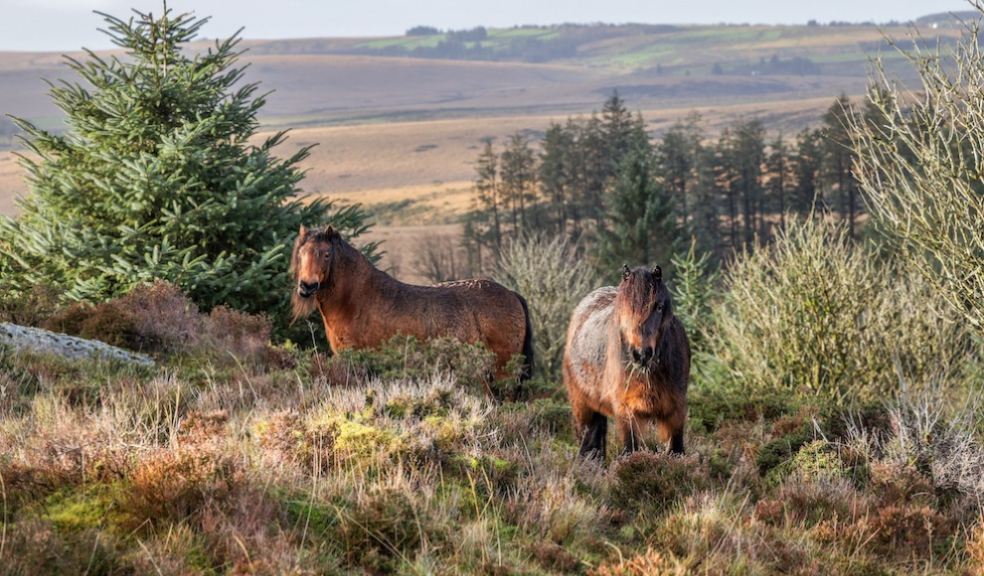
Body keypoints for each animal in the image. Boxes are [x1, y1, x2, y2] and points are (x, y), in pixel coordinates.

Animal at [290, 226, 536, 382]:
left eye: (326, 254)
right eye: (301, 254)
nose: (307, 286)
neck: (356, 300)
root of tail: (512, 294)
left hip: (503, 371)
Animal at [560, 264, 692, 460]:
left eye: (659, 306)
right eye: (624, 307)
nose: (641, 354)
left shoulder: (676, 413)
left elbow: (677, 451)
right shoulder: (627, 413)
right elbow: (630, 451)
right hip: (582, 406)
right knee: (587, 440)